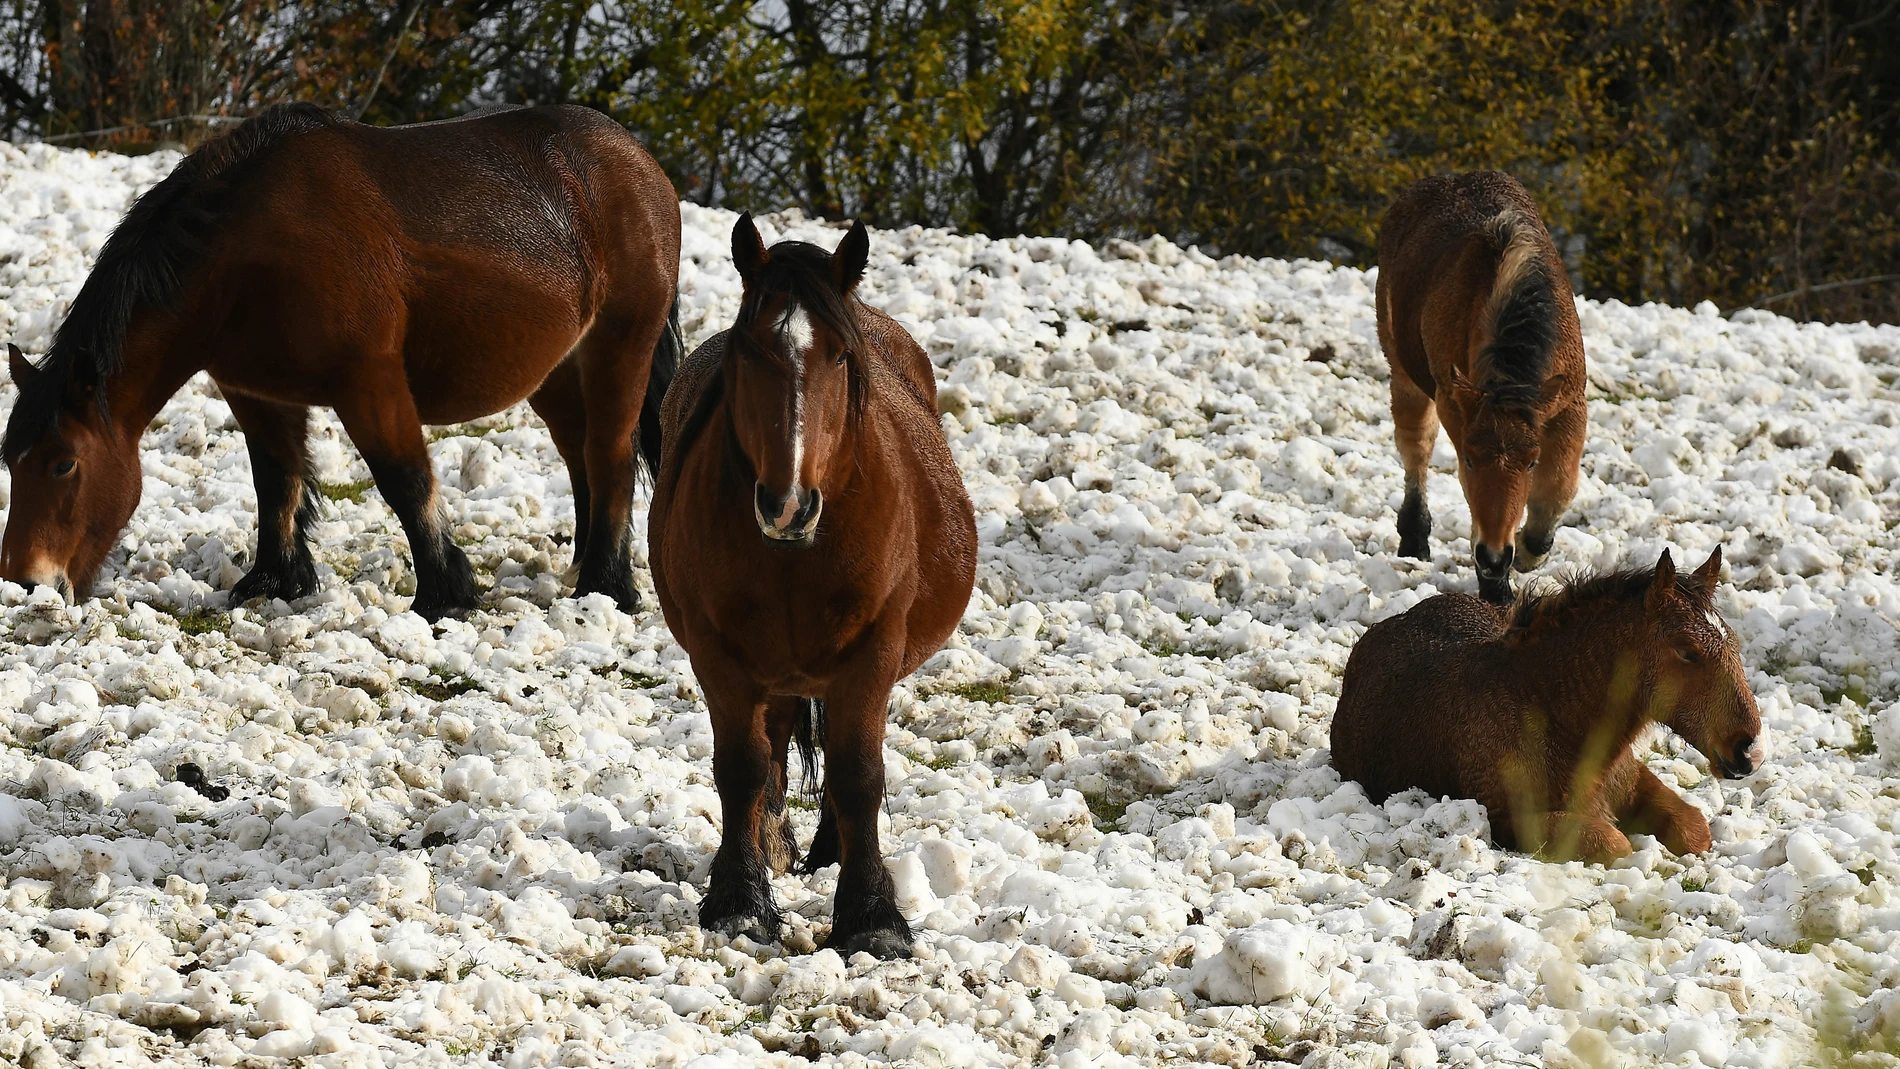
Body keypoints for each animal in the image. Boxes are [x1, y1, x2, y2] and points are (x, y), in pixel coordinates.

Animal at [0, 102, 684, 618]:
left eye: (63, 464)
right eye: (11, 460)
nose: (24, 582)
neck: (245, 258)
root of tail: (639, 162)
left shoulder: (368, 380)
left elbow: (405, 480)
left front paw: (444, 594)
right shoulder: (255, 390)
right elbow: (277, 480)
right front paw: (273, 582)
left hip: (621, 345)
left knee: (609, 453)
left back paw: (605, 587)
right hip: (558, 367)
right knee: (578, 451)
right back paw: (586, 567)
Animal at [653, 213, 980, 956]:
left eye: (839, 356)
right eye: (750, 350)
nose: (788, 504)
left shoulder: (873, 651)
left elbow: (858, 772)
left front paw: (871, 915)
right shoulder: (719, 652)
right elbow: (741, 765)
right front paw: (741, 899)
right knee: (773, 743)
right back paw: (773, 842)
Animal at [1330, 546, 1755, 865]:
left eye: (1734, 641)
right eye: (1687, 651)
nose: (1748, 748)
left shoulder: (1633, 779)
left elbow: (1693, 828)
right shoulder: (1505, 819)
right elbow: (1613, 842)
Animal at [1383, 167, 1588, 603]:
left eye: (1531, 462)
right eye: (1471, 461)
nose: (1494, 557)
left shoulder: (1569, 403)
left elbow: (1559, 485)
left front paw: (1529, 550)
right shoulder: (1453, 403)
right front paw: (1497, 585)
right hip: (1402, 370)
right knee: (1415, 446)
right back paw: (1414, 537)